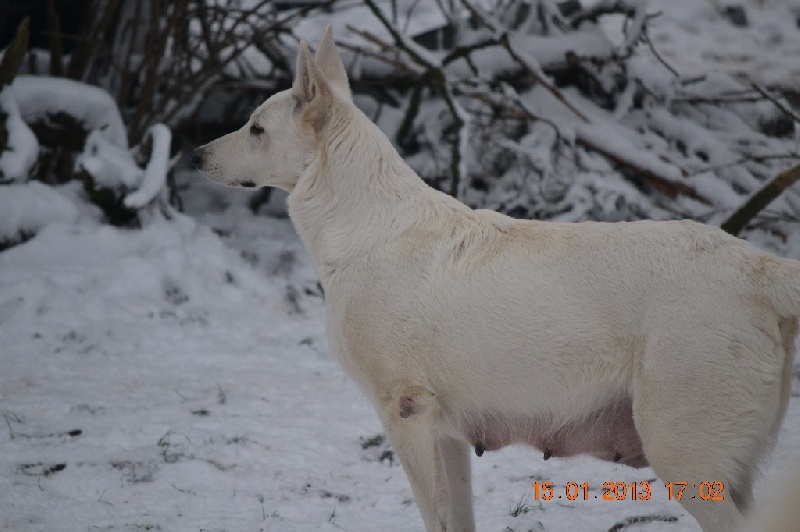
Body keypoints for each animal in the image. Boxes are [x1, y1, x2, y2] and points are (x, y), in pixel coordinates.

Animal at [194, 28, 800, 532]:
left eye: (255, 129)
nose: (195, 154)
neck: (364, 227)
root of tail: (761, 266)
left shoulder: (405, 415)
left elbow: (433, 516)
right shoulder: (447, 435)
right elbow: (456, 520)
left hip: (684, 457)